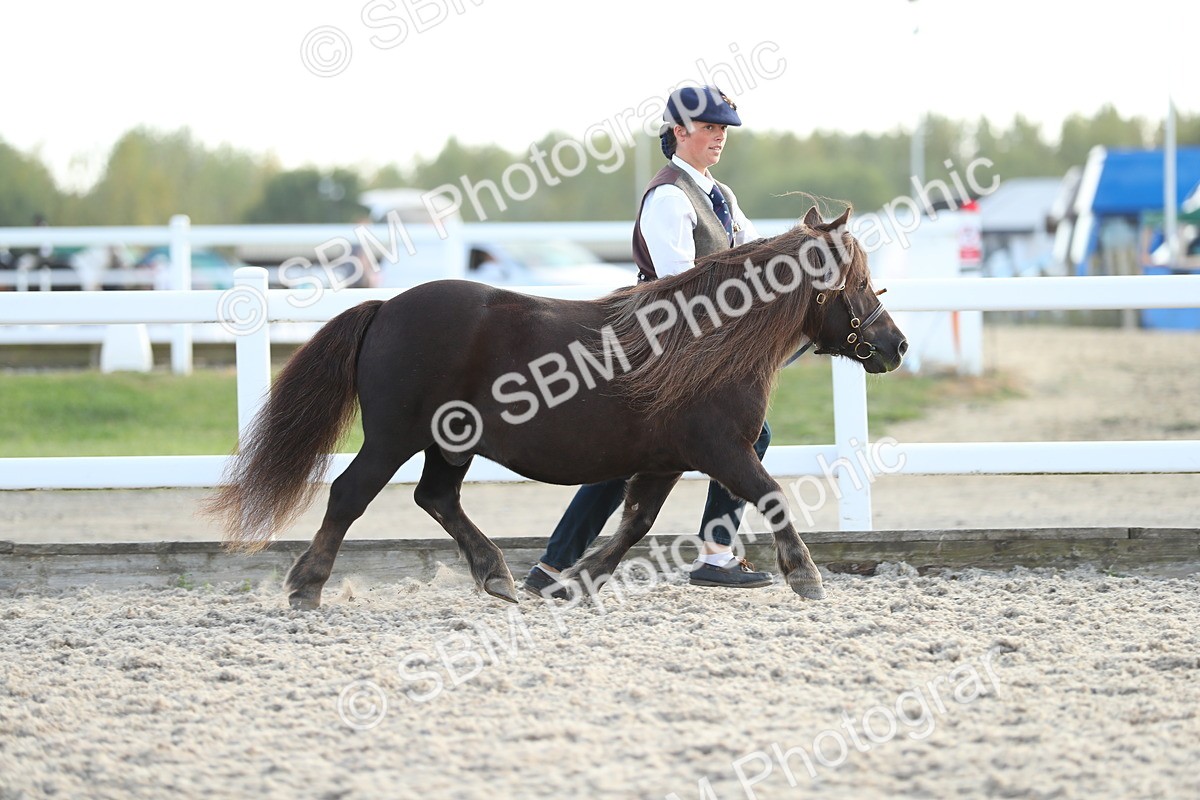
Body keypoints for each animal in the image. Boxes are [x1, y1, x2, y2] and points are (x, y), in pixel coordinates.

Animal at [204, 206, 908, 609]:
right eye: (857, 281)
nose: (895, 345)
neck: (705, 340)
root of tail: (385, 308)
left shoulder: (664, 460)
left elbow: (634, 523)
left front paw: (581, 581)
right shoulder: (722, 449)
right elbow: (772, 497)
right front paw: (806, 576)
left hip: (450, 443)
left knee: (436, 498)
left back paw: (498, 576)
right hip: (393, 438)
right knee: (350, 494)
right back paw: (307, 587)